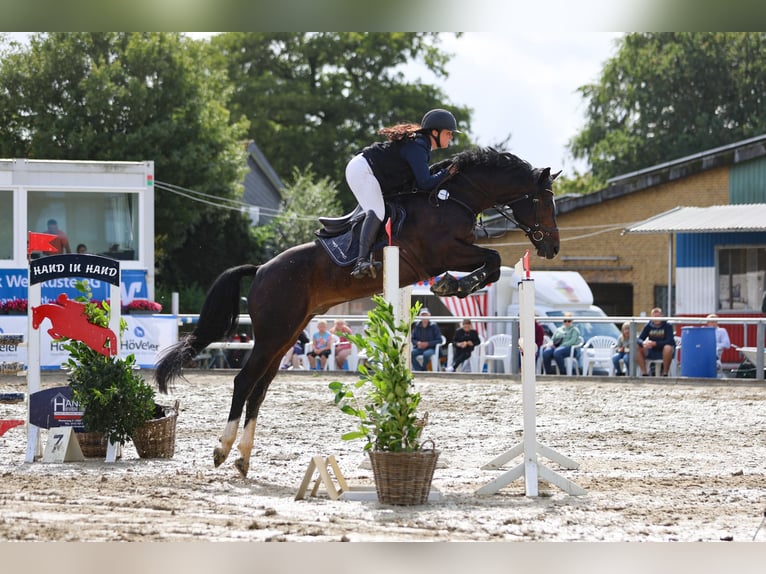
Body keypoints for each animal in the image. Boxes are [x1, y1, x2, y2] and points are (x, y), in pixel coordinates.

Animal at [158, 146, 564, 480]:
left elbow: (493, 264)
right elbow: (491, 260)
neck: (453, 198)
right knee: (244, 381)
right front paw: (451, 286)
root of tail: (259, 270)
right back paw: (222, 450)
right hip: (274, 333)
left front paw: (454, 285)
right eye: (544, 202)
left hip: (287, 334)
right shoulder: (443, 252)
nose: (553, 248)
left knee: (259, 388)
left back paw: (243, 457)